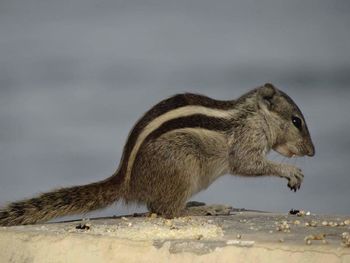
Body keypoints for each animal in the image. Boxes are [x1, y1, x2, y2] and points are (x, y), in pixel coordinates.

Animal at [0, 83, 314, 226]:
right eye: (296, 121)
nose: (312, 152)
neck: (254, 116)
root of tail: (128, 182)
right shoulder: (246, 141)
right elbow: (247, 164)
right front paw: (291, 171)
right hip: (182, 164)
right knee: (167, 210)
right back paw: (205, 208)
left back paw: (198, 202)